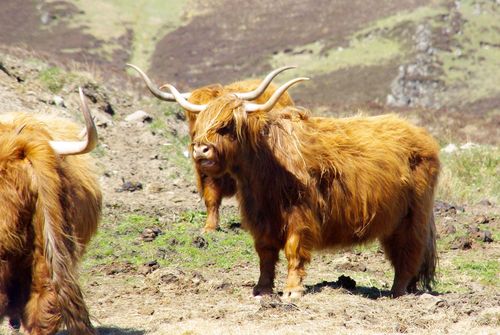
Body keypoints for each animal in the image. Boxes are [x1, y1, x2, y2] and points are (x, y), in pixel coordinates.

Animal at [127, 65, 294, 234]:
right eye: (195, 118)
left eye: (224, 122)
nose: (201, 149)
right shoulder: (205, 174)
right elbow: (211, 199)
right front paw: (209, 227)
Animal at [162, 77, 440, 298]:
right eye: (198, 125)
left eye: (226, 125)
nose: (200, 149)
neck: (263, 164)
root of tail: (422, 135)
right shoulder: (260, 217)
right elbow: (265, 254)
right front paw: (262, 289)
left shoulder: (300, 214)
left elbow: (293, 250)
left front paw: (292, 290)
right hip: (394, 220)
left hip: (413, 216)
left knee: (409, 252)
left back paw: (397, 292)